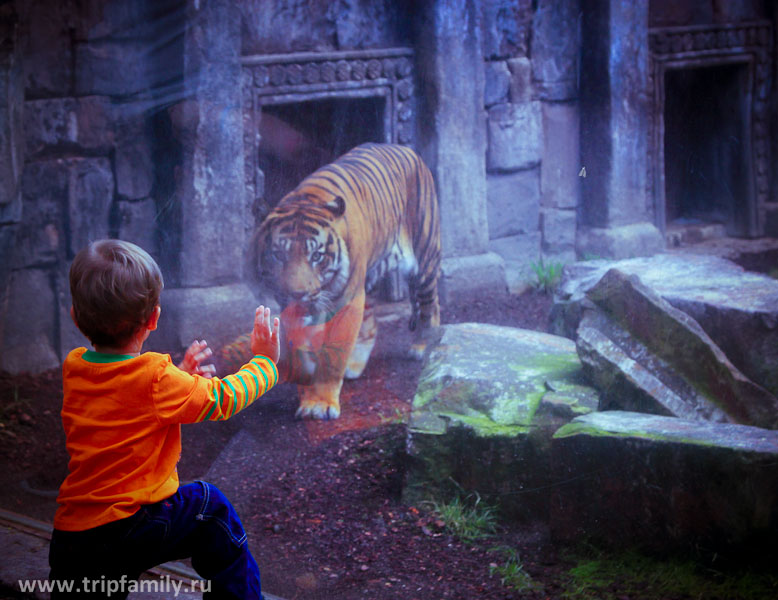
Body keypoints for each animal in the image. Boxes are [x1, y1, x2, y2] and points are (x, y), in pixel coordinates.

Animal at [253, 143, 436, 420]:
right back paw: (355, 365)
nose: (297, 294)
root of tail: (406, 149)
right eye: (278, 255)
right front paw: (307, 381)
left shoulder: (347, 300)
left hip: (424, 258)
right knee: (370, 322)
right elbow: (300, 347)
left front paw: (320, 403)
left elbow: (333, 354)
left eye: (316, 256)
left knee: (430, 305)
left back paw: (423, 346)